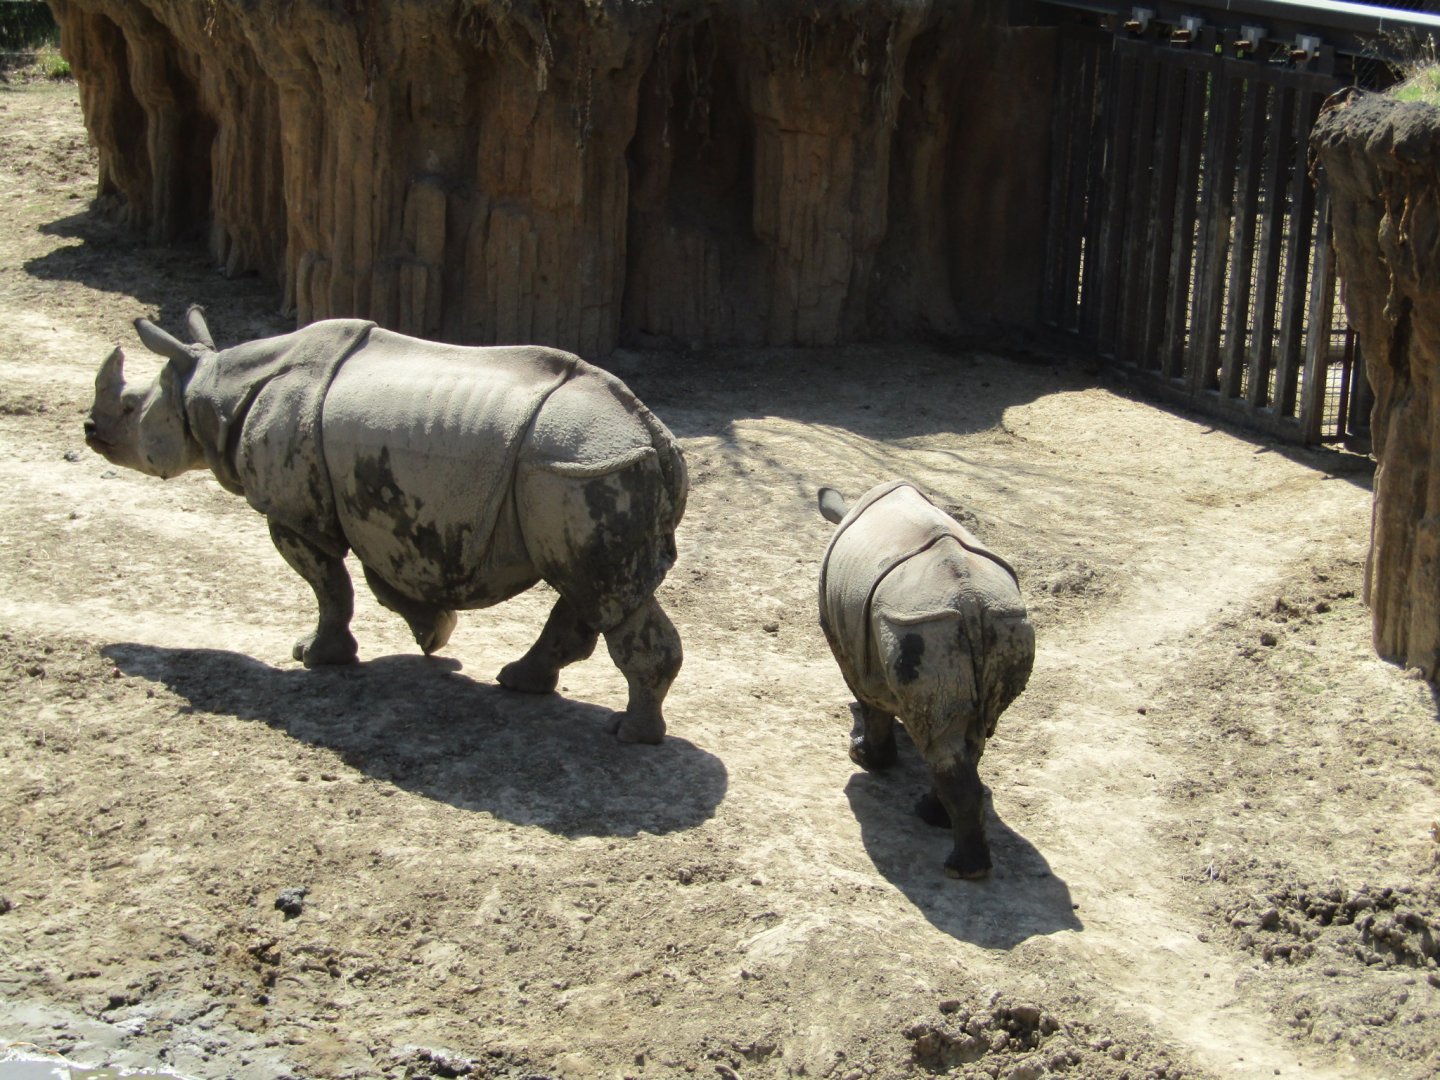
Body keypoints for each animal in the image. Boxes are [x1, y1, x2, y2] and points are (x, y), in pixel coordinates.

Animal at [84, 307, 687, 744]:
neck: (212, 389)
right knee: (588, 591)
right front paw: (433, 632)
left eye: (131, 407)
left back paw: (628, 735)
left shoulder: (294, 513)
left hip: (579, 471)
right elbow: (378, 583)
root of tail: (656, 435)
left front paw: (315, 657)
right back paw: (523, 684)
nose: (89, 430)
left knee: (602, 595)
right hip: (575, 476)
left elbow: (330, 585)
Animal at [817, 480, 1035, 878]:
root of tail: (969, 600)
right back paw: (940, 825)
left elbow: (869, 703)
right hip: (1003, 623)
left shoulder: (845, 642)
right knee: (968, 736)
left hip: (918, 624)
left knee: (941, 741)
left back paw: (960, 870)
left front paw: (864, 756)